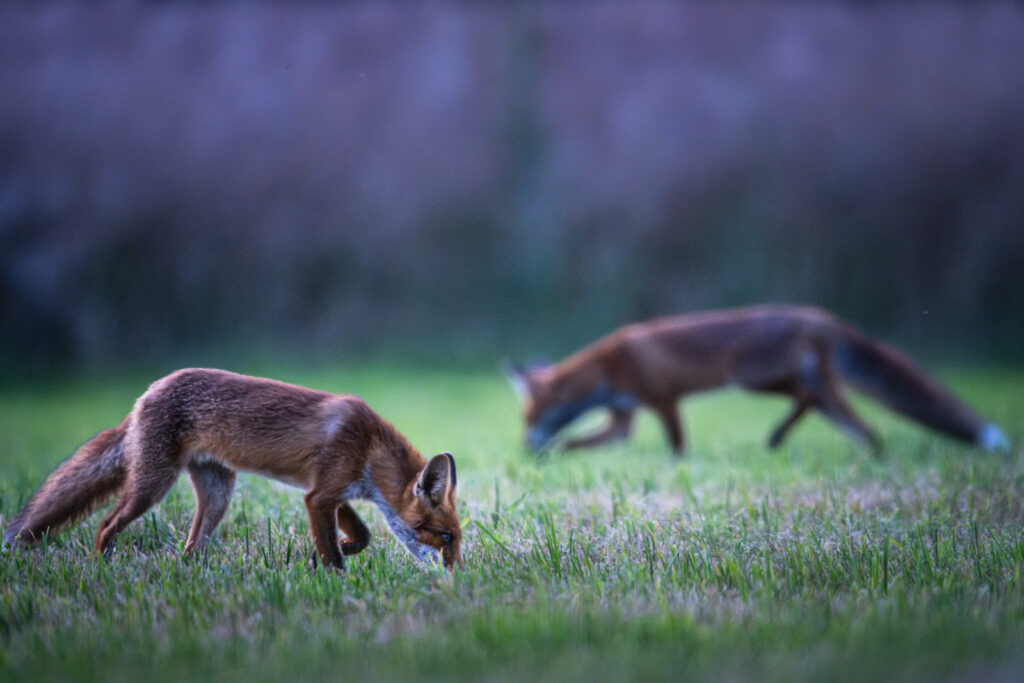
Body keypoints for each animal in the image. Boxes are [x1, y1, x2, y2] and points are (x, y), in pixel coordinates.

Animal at [3, 368, 462, 570]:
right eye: (445, 537)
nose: (456, 576)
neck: (368, 447)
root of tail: (147, 393)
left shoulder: (329, 492)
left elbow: (361, 535)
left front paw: (322, 556)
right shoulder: (320, 495)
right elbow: (334, 552)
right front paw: (334, 577)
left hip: (218, 495)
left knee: (191, 547)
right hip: (152, 486)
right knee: (106, 524)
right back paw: (102, 569)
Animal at [506, 305, 1009, 456]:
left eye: (528, 417)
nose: (525, 445)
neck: (606, 369)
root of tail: (818, 316)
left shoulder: (664, 399)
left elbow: (676, 444)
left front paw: (679, 466)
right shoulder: (624, 416)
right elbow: (587, 441)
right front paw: (557, 454)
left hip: (751, 377)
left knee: (809, 398)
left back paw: (778, 437)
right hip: (805, 385)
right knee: (853, 420)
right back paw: (871, 454)